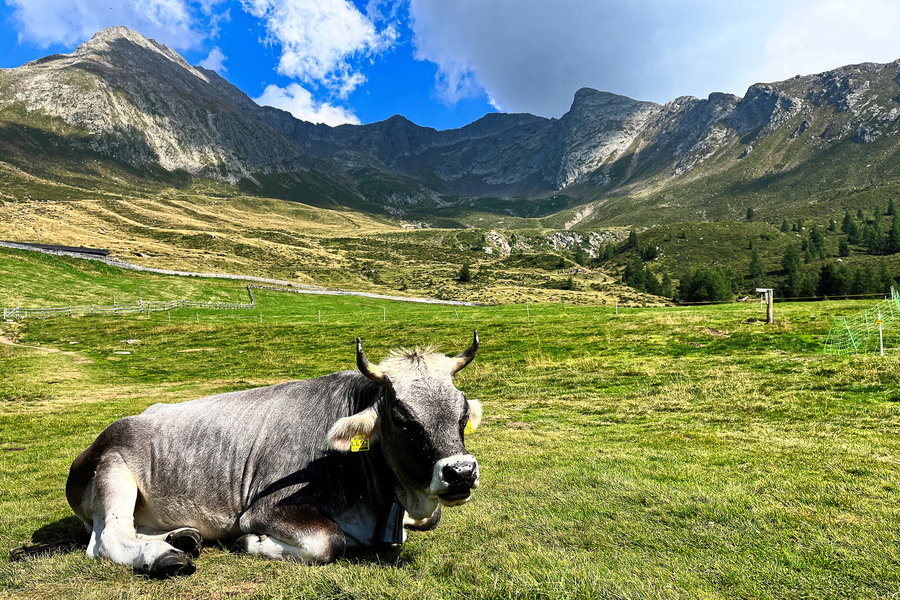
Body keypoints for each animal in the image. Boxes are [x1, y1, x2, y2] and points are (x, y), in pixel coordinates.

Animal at [65, 333, 482, 578]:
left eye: (462, 413)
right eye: (402, 419)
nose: (461, 472)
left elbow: (426, 521)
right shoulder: (263, 510)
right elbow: (328, 541)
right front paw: (252, 544)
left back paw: (181, 538)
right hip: (115, 470)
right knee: (109, 538)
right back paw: (166, 556)